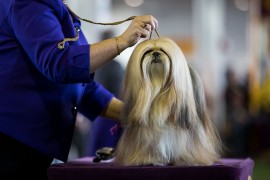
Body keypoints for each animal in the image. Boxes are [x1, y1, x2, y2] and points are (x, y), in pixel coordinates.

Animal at [113, 38, 221, 166]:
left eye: (163, 50)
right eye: (148, 51)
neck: (158, 86)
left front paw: (184, 159)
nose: (155, 53)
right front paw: (148, 159)